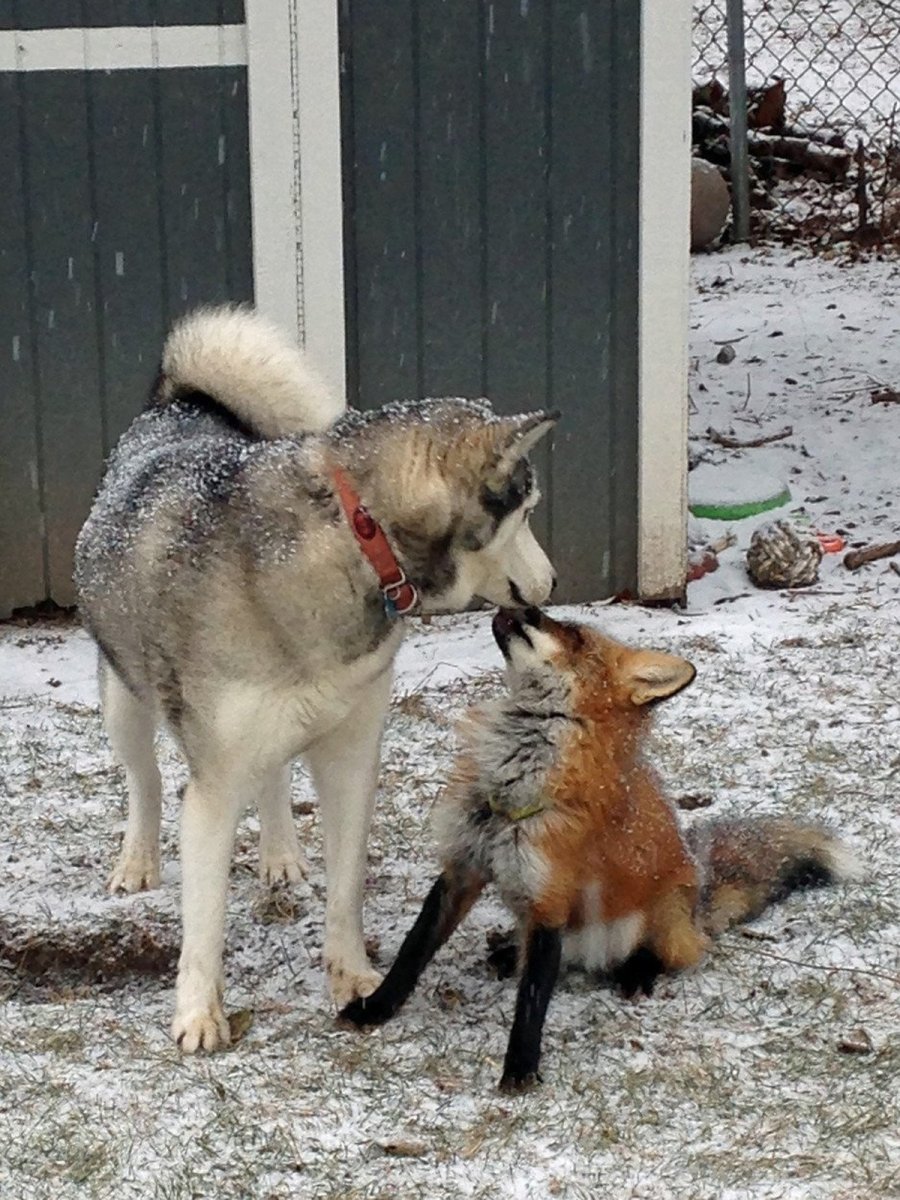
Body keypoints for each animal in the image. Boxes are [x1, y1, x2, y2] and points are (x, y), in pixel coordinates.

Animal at [340, 607, 862, 1091]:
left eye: (573, 634)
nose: (517, 603)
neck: (513, 781)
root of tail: (699, 894)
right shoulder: (462, 869)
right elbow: (413, 952)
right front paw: (375, 1009)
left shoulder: (549, 897)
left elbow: (532, 1000)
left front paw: (520, 1072)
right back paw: (507, 954)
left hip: (661, 919)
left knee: (682, 954)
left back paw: (638, 973)